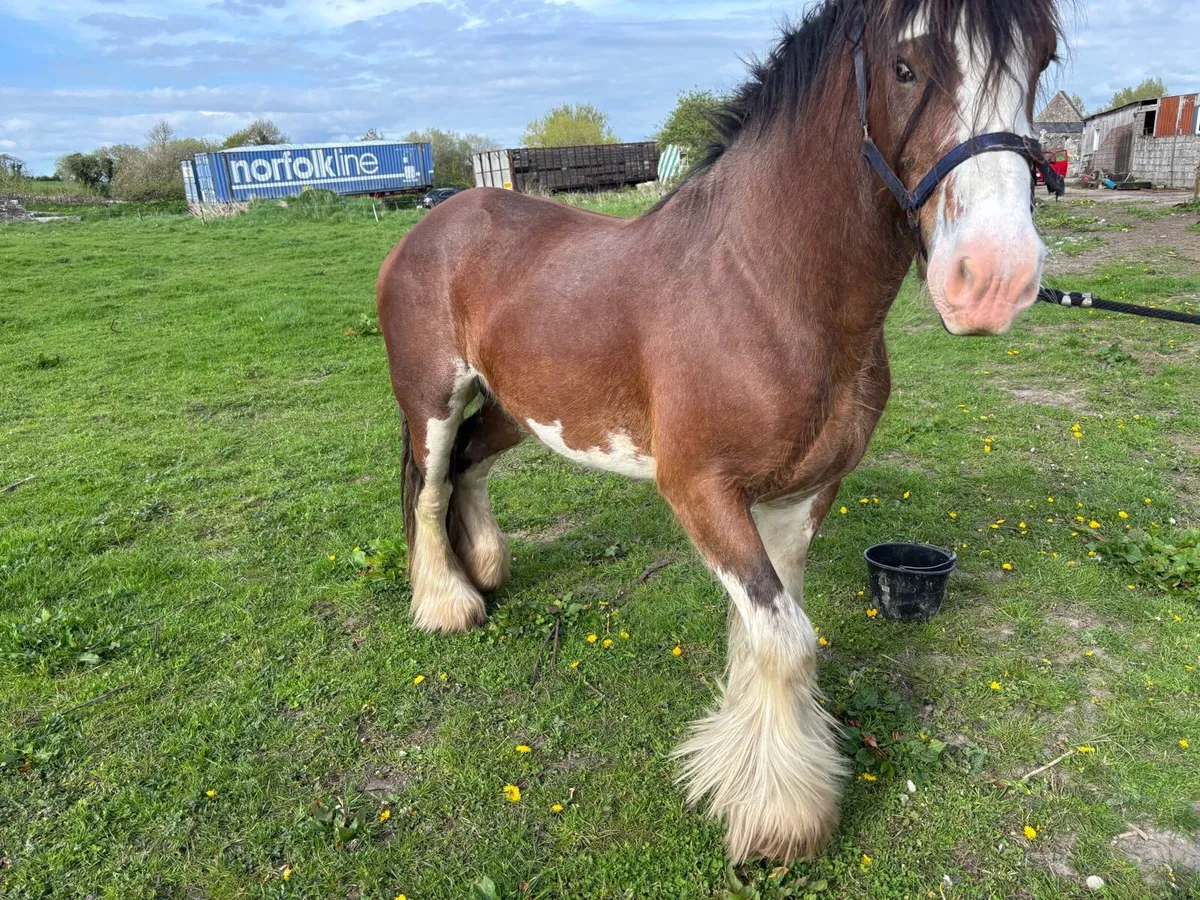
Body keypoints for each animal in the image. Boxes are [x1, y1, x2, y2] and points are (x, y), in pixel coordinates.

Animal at [377, 0, 1063, 863]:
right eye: (906, 66)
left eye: (1040, 63)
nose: (995, 278)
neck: (764, 287)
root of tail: (437, 221)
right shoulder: (700, 491)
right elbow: (787, 641)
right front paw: (779, 820)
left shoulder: (803, 495)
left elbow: (768, 633)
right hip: (432, 400)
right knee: (429, 489)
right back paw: (448, 603)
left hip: (514, 408)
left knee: (469, 465)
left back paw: (488, 570)